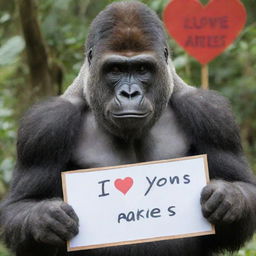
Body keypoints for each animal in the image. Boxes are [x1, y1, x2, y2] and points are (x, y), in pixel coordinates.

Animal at [0, 1, 256, 256]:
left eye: (142, 68)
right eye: (115, 69)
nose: (129, 93)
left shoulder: (213, 114)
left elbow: (244, 187)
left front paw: (228, 197)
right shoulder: (45, 124)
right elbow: (20, 205)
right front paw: (47, 218)